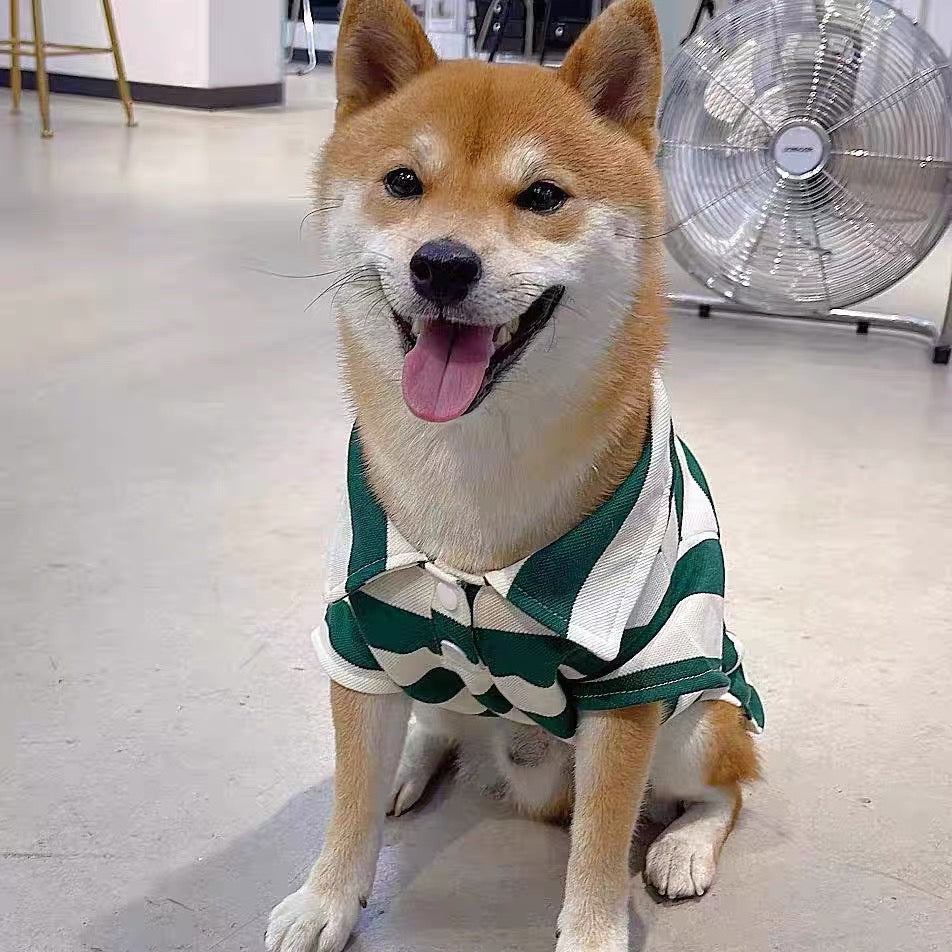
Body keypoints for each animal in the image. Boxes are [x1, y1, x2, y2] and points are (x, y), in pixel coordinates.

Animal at [264, 1, 764, 952]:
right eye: (403, 182)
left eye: (541, 198)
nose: (441, 264)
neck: (472, 469)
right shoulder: (360, 637)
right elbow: (347, 802)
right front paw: (325, 898)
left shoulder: (631, 692)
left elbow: (601, 843)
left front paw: (594, 932)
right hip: (424, 680)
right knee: (428, 730)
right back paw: (408, 766)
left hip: (696, 715)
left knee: (728, 788)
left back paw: (685, 844)